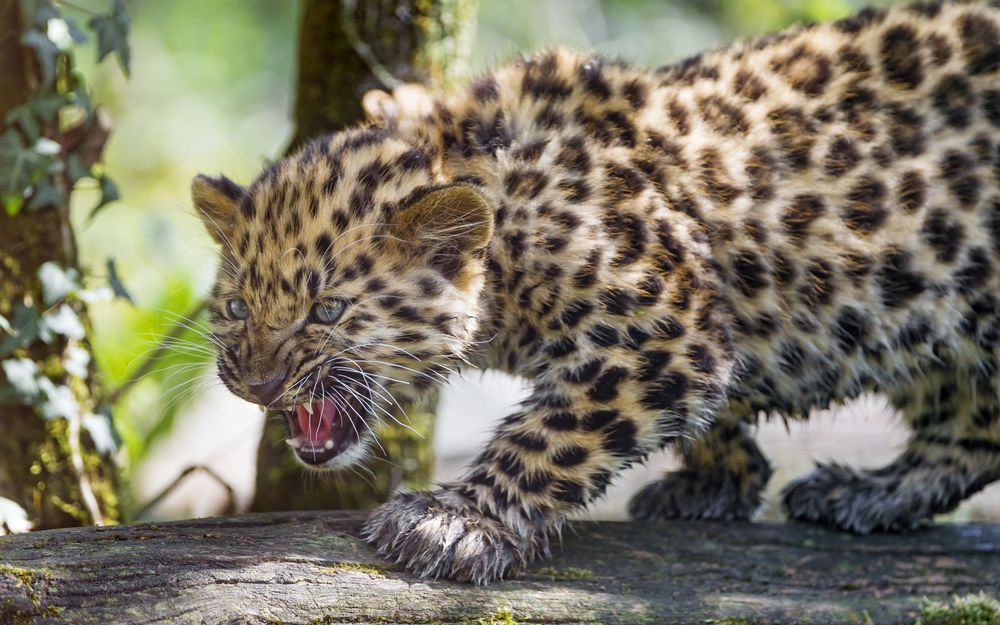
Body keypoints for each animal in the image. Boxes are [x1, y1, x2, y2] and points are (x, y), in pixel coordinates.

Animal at [191, 0, 1000, 584]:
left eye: (327, 309)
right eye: (236, 307)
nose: (258, 385)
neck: (508, 233)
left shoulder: (669, 326)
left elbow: (554, 434)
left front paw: (457, 521)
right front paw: (722, 478)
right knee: (973, 424)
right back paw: (870, 492)